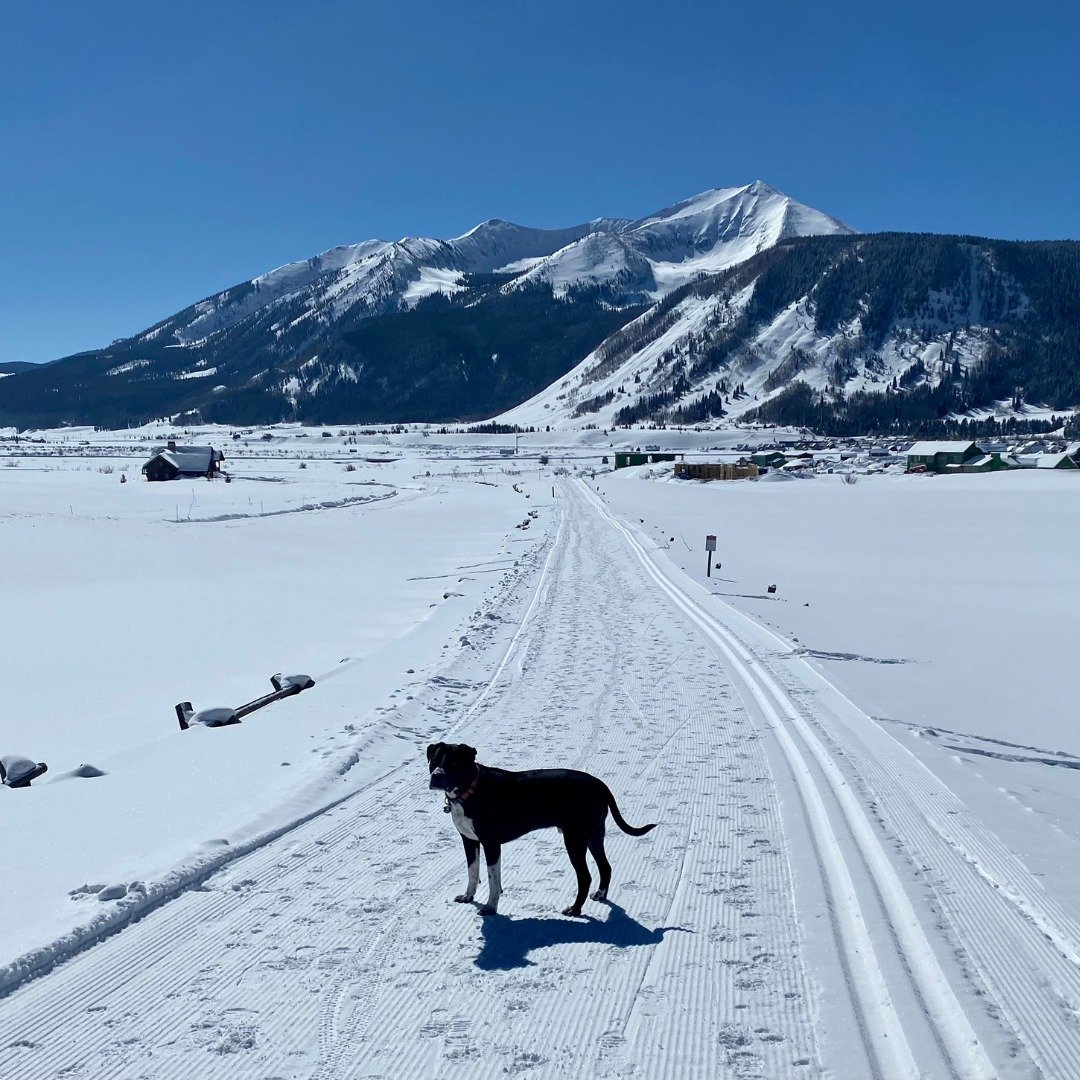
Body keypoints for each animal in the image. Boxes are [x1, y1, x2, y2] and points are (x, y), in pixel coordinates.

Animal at [425, 747, 652, 915]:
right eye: (434, 761)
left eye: (453, 764)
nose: (436, 777)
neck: (470, 790)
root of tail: (600, 784)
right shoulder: (469, 840)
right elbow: (473, 871)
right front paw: (468, 896)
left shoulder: (491, 843)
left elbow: (492, 878)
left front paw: (490, 907)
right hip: (594, 834)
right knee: (605, 867)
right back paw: (600, 895)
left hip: (575, 838)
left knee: (585, 877)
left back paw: (575, 910)